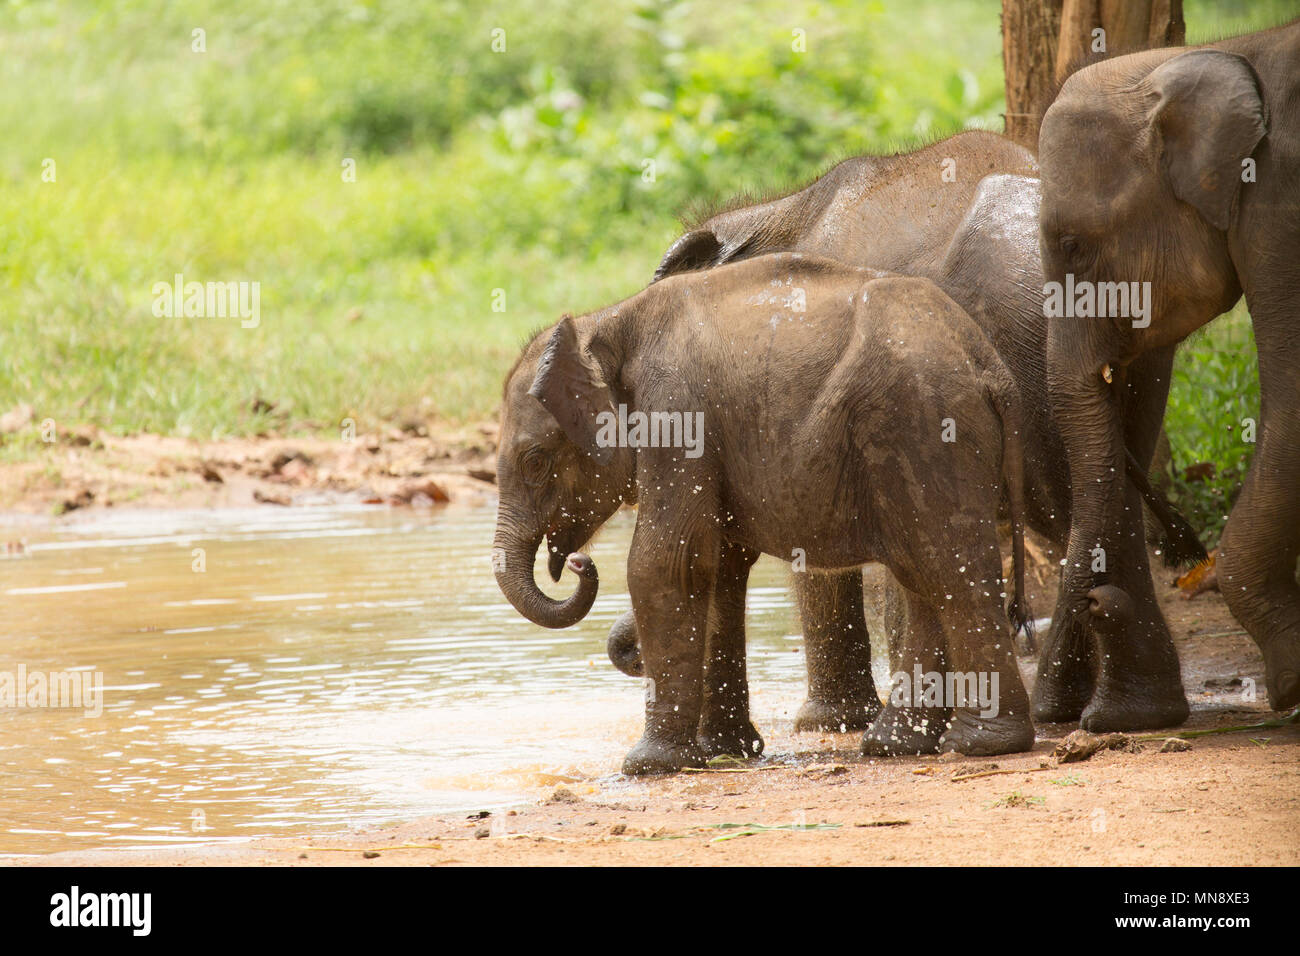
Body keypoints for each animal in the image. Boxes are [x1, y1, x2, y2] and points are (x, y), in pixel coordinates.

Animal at [493, 253, 1037, 773]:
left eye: (535, 462)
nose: (579, 564)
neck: (606, 319)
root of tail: (992, 367)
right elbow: (719, 569)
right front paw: (723, 753)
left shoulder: (675, 416)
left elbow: (666, 563)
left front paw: (648, 766)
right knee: (924, 576)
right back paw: (894, 746)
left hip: (923, 426)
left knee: (950, 569)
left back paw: (979, 746)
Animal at [606, 130, 1204, 744]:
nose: (626, 648)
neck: (779, 209)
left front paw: (831, 724)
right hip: (1134, 353)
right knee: (1105, 503)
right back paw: (1118, 712)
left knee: (1065, 508)